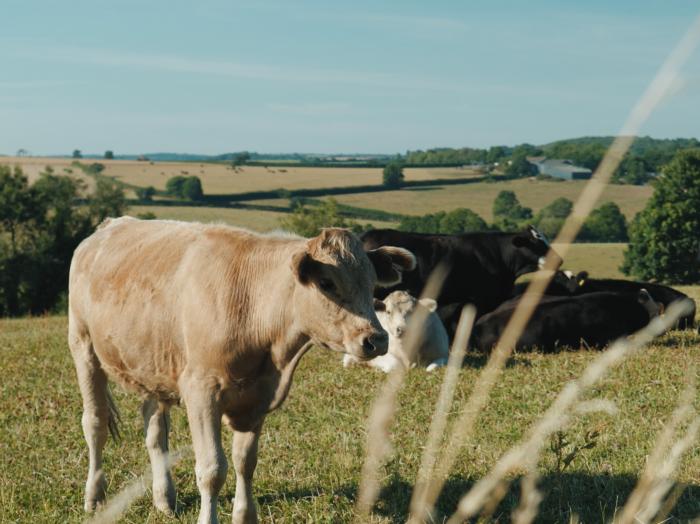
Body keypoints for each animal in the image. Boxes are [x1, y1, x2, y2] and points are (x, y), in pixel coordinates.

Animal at [66, 217, 416, 524]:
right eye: (327, 283)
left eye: (371, 283)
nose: (376, 339)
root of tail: (108, 225)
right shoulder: (201, 391)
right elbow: (212, 469)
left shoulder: (256, 398)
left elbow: (245, 462)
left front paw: (244, 516)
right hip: (83, 346)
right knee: (95, 423)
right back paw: (94, 497)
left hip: (153, 365)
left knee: (155, 432)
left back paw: (164, 499)